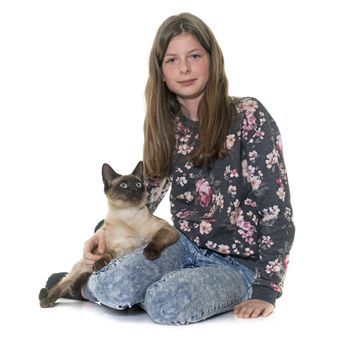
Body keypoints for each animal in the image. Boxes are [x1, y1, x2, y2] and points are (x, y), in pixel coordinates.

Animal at [39, 160, 178, 308]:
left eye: (138, 184)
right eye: (123, 186)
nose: (134, 190)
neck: (128, 216)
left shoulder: (167, 230)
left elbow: (155, 240)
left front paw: (149, 252)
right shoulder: (114, 249)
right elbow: (105, 254)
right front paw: (101, 262)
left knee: (86, 276)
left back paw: (74, 288)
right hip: (80, 267)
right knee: (61, 285)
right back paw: (47, 300)